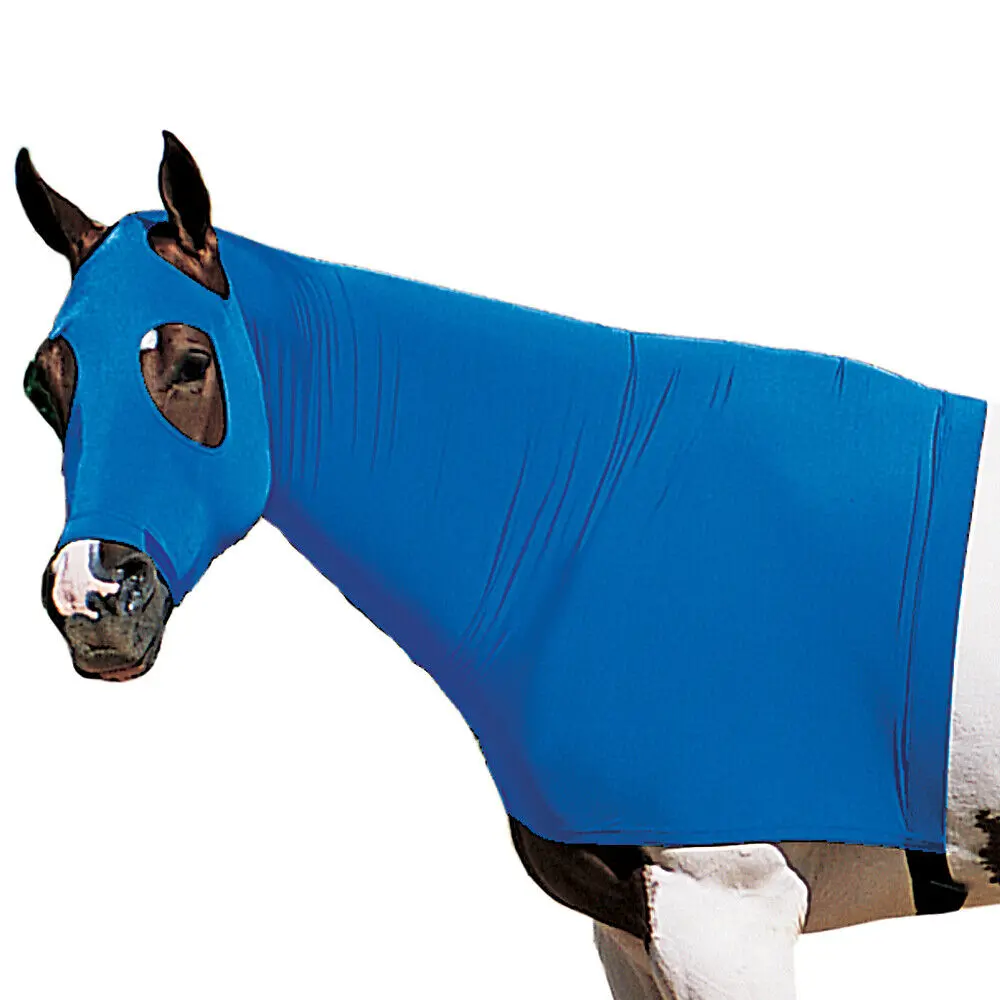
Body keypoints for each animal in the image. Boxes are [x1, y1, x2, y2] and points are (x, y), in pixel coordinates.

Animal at [17, 132, 1000, 1000]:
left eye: (190, 362)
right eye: (41, 386)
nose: (93, 595)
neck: (604, 519)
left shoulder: (724, 914)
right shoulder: (629, 932)